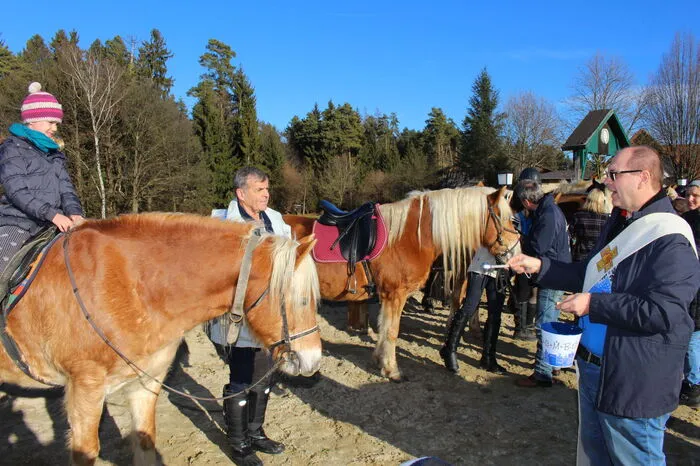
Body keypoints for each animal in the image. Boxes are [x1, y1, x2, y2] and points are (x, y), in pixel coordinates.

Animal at [0, 213, 321, 465]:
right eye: (303, 300)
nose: (313, 361)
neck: (131, 287)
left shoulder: (146, 382)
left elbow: (145, 441)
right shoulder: (84, 390)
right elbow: (86, 451)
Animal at [285, 186, 519, 381]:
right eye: (506, 218)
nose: (515, 253)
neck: (411, 237)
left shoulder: (390, 296)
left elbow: (384, 328)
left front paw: (380, 361)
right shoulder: (395, 295)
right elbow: (392, 331)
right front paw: (392, 370)